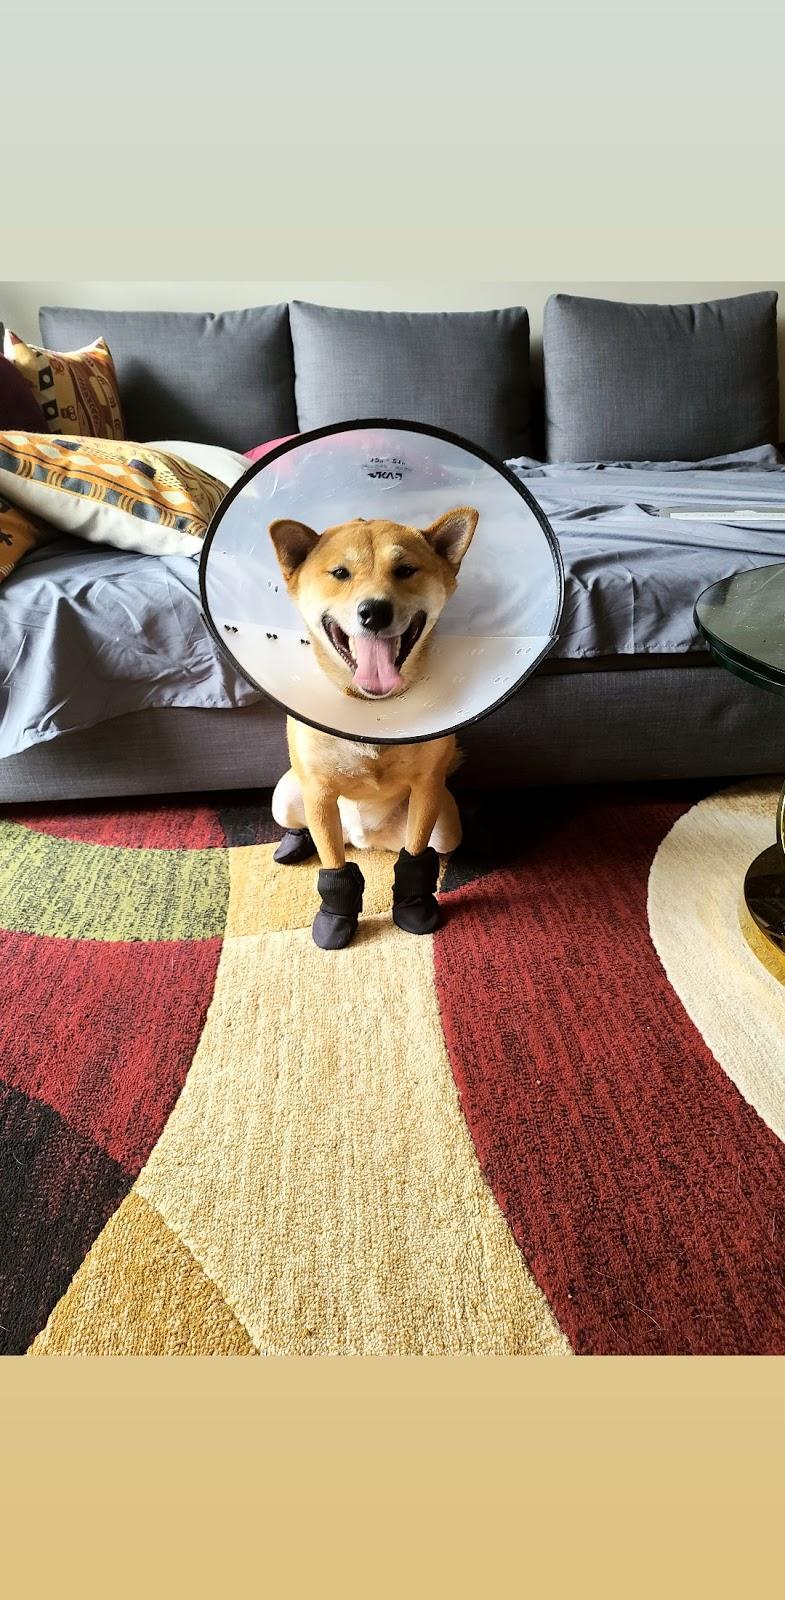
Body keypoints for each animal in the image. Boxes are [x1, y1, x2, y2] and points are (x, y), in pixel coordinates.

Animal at [268, 505, 479, 948]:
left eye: (405, 570)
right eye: (340, 573)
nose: (375, 611)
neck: (371, 712)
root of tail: (364, 840)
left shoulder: (427, 787)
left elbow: (415, 857)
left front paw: (413, 906)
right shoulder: (319, 793)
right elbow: (333, 866)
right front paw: (335, 919)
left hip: (447, 827)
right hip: (285, 797)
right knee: (307, 830)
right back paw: (293, 844)